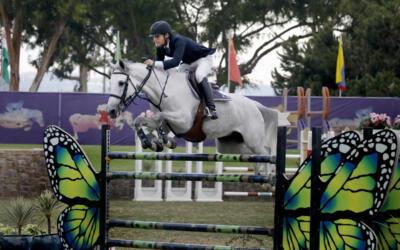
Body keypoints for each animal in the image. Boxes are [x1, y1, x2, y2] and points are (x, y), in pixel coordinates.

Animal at [106, 59, 288, 175]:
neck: (164, 91)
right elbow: (142, 121)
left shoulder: (184, 121)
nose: (111, 111)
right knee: (254, 155)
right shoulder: (169, 123)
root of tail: (255, 105)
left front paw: (165, 141)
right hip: (230, 145)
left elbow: (160, 118)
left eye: (121, 83)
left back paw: (268, 180)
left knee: (266, 152)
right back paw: (258, 174)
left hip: (253, 140)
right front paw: (149, 142)